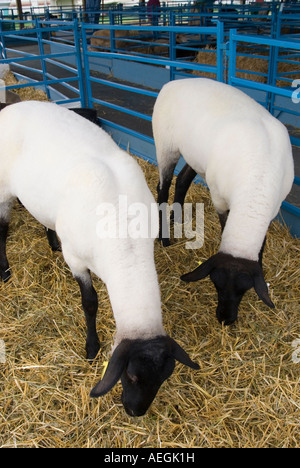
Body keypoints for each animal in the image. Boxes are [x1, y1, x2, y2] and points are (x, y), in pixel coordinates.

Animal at [0, 101, 199, 416]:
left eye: (164, 378)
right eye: (130, 375)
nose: (135, 412)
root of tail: (13, 106)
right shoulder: (76, 260)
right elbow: (90, 303)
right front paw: (92, 348)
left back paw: (52, 242)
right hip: (3, 190)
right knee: (2, 230)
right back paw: (5, 271)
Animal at [154, 77, 294, 326]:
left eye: (244, 291)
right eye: (215, 285)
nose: (224, 320)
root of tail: (174, 82)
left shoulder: (272, 210)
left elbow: (261, 245)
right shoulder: (219, 199)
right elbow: (223, 226)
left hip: (195, 155)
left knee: (182, 180)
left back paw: (177, 219)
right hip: (165, 146)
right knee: (163, 188)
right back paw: (165, 238)